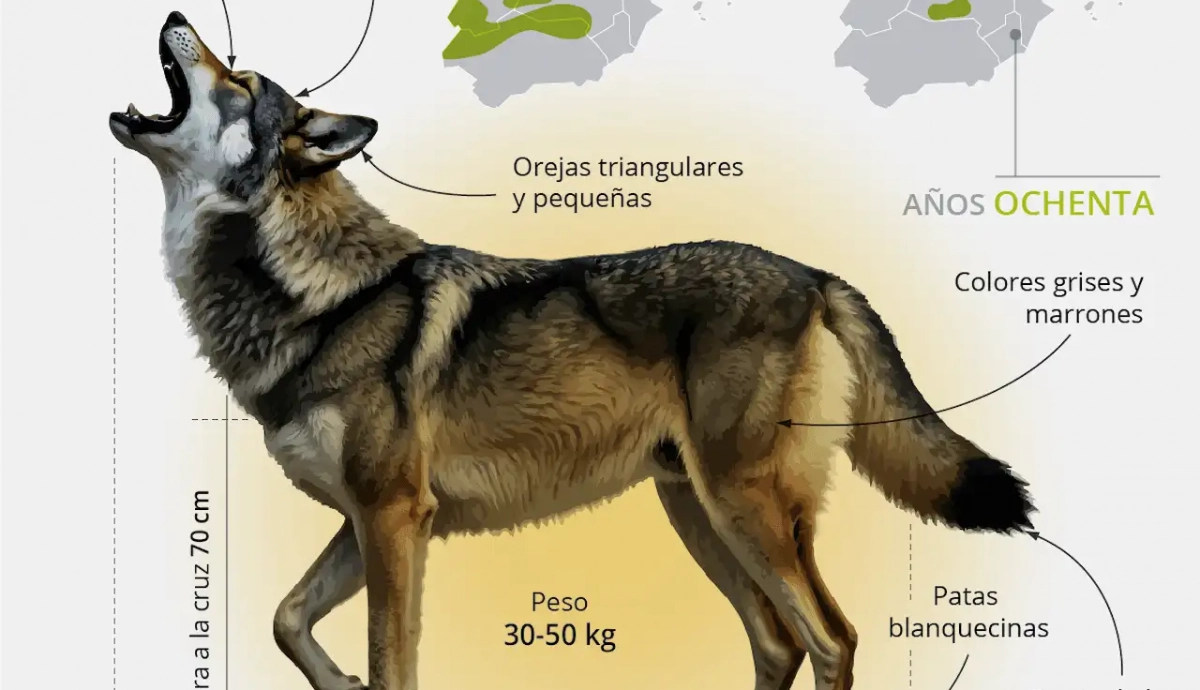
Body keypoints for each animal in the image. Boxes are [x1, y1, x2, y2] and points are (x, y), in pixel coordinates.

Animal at [111, 11, 1034, 690]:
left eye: (241, 80)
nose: (175, 16)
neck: (318, 296)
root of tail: (815, 274)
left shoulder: (395, 516)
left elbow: (390, 662)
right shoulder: (368, 519)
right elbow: (287, 619)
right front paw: (338, 682)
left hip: (741, 510)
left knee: (832, 637)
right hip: (700, 515)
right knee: (779, 642)